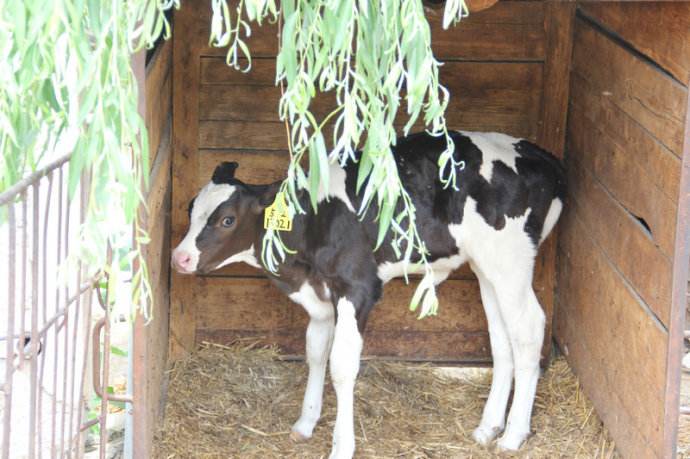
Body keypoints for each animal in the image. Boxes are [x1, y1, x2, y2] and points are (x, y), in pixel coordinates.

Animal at [172, 131, 564, 458]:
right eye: (190, 208)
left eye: (226, 220)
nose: (180, 257)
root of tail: (543, 156)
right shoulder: (320, 296)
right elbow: (316, 352)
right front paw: (305, 423)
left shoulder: (357, 287)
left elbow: (342, 366)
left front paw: (341, 447)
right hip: (487, 267)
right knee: (502, 337)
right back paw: (488, 428)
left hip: (511, 260)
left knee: (529, 328)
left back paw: (513, 436)